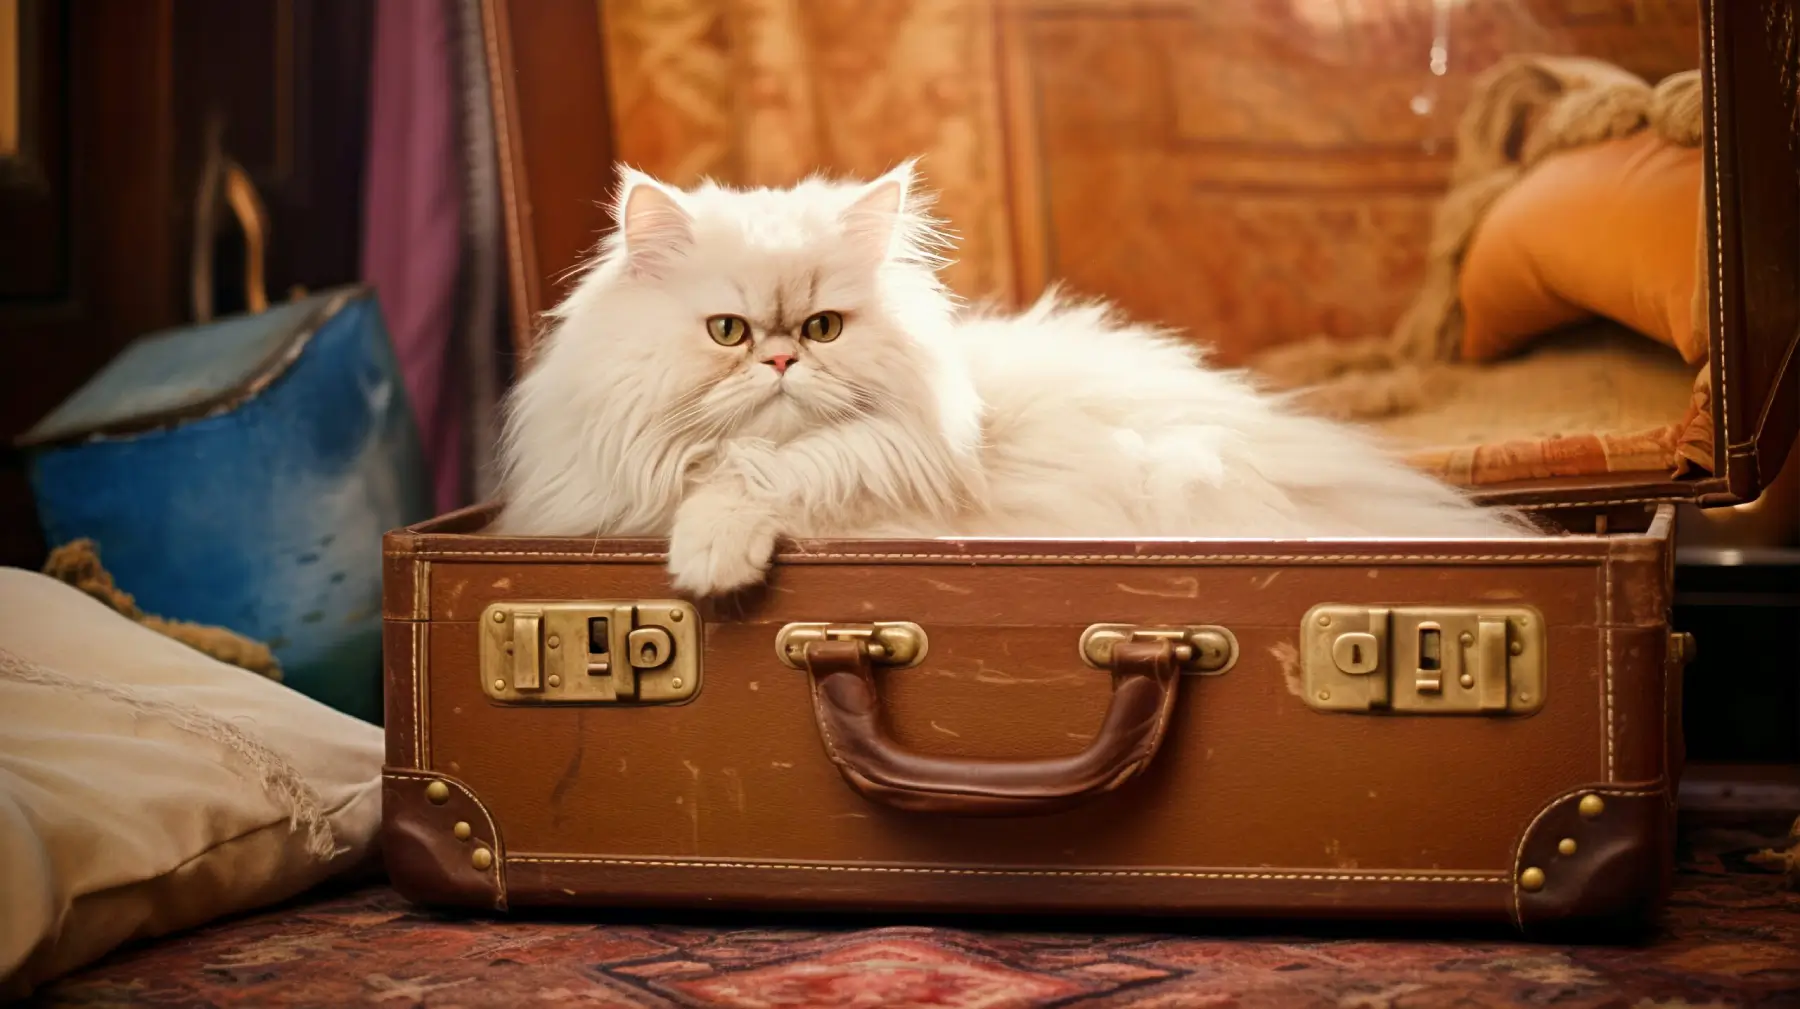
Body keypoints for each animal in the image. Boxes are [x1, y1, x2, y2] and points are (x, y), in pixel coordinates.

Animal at [493, 160, 1533, 593]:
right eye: (728, 332)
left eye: (823, 328)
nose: (783, 358)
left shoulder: (864, 489)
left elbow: (758, 486)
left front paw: (711, 557)